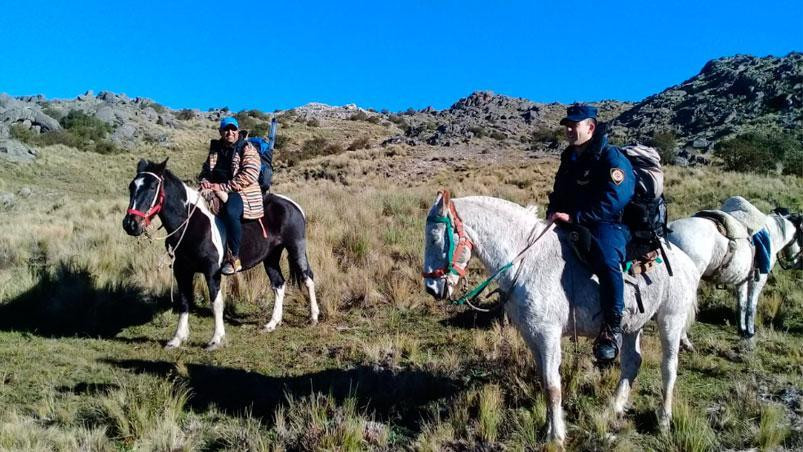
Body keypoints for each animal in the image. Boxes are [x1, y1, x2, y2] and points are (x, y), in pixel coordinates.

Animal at [122, 159, 318, 350]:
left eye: (152, 186)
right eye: (131, 186)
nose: (130, 224)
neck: (192, 224)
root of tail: (292, 204)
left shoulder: (212, 271)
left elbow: (216, 303)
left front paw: (216, 339)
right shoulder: (181, 270)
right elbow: (184, 302)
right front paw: (177, 339)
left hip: (296, 247)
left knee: (307, 277)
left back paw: (313, 317)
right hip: (270, 257)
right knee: (278, 284)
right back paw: (272, 323)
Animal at [424, 192, 700, 444]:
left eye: (436, 238)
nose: (431, 288)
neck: (527, 262)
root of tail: (686, 260)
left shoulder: (548, 335)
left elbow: (552, 386)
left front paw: (556, 436)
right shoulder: (532, 335)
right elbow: (544, 381)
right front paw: (548, 428)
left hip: (670, 320)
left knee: (669, 367)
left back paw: (664, 420)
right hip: (632, 325)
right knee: (632, 361)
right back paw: (613, 409)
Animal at [672, 207, 803, 336]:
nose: (798, 262)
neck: (772, 235)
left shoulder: (742, 280)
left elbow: (742, 304)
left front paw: (742, 329)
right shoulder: (758, 279)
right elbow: (752, 305)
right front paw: (750, 332)